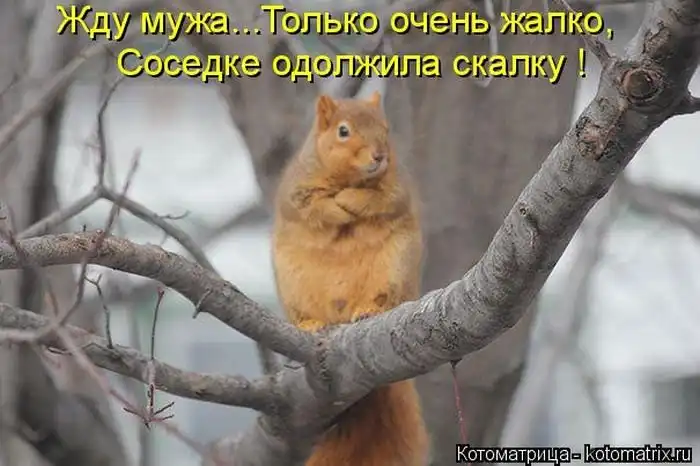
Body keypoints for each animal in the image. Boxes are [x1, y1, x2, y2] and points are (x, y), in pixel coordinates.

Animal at [271, 90, 429, 466]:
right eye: (343, 131)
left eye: (386, 129)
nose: (380, 156)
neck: (347, 177)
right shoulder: (296, 192)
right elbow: (313, 207)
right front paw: (335, 205)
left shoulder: (396, 189)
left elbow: (378, 198)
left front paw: (350, 198)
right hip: (294, 288)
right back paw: (310, 324)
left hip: (394, 271)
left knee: (382, 297)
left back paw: (368, 309)